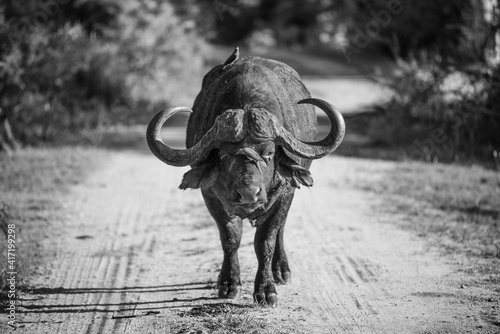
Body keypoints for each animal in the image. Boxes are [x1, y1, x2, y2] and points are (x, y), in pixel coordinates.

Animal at [146, 47, 346, 308]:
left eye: (269, 153)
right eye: (223, 154)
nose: (249, 193)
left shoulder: (286, 193)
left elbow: (265, 240)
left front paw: (266, 289)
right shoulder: (210, 195)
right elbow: (230, 238)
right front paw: (229, 284)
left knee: (281, 229)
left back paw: (281, 270)